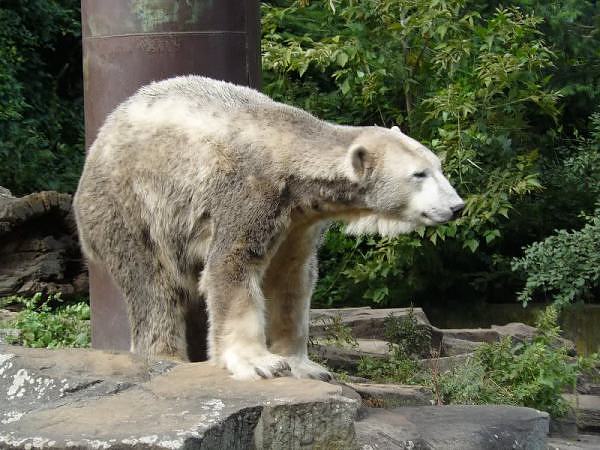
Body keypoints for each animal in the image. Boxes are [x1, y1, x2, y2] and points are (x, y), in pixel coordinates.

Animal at [73, 76, 464, 381]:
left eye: (438, 166)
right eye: (419, 174)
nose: (457, 207)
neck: (290, 149)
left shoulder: (300, 219)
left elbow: (291, 278)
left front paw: (306, 366)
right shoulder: (249, 192)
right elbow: (231, 265)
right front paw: (259, 363)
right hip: (127, 206)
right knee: (152, 285)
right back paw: (166, 355)